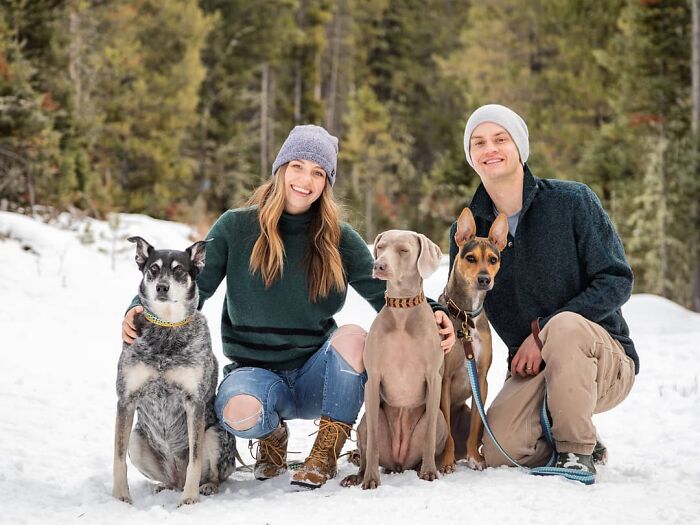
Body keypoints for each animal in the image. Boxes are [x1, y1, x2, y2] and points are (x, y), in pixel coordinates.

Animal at [112, 235, 237, 506]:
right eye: (153, 268)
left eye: (179, 270)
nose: (162, 287)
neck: (167, 327)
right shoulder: (126, 400)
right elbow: (118, 457)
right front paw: (120, 496)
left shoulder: (195, 403)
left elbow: (195, 460)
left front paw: (189, 499)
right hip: (137, 441)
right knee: (168, 478)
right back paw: (165, 486)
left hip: (216, 434)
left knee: (215, 475)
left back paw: (205, 487)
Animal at [342, 228, 446, 488]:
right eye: (380, 247)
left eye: (403, 250)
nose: (378, 265)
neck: (402, 312)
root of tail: (399, 464)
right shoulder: (373, 379)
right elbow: (373, 445)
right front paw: (370, 479)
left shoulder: (434, 378)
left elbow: (429, 436)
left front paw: (429, 472)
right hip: (367, 420)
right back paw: (357, 476)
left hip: (440, 419)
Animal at [440, 206, 506, 470]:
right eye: (470, 258)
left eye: (493, 259)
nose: (484, 279)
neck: (467, 315)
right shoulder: (444, 381)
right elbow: (446, 429)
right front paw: (446, 462)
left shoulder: (481, 379)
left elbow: (477, 425)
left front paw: (475, 459)